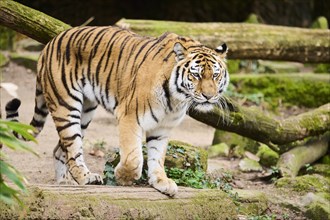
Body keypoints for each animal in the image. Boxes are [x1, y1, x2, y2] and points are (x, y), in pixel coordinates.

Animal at [5, 25, 228, 196]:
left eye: (215, 75)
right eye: (196, 75)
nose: (209, 96)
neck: (177, 99)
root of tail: (50, 43)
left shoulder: (162, 128)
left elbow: (157, 157)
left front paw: (161, 182)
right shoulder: (129, 116)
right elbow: (133, 157)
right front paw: (123, 177)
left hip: (86, 110)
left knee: (60, 149)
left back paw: (64, 183)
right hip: (66, 105)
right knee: (73, 147)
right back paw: (86, 178)